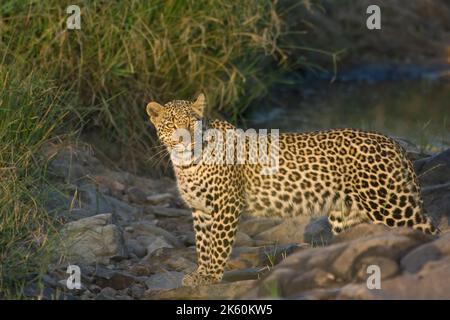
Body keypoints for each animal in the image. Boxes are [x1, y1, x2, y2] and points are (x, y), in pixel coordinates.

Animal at [147, 94, 440, 286]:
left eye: (192, 122)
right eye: (172, 124)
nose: (184, 138)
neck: (186, 162)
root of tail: (393, 142)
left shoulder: (225, 206)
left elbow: (218, 245)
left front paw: (210, 277)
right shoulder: (201, 210)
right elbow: (203, 245)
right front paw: (200, 273)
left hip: (389, 204)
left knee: (429, 231)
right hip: (348, 214)